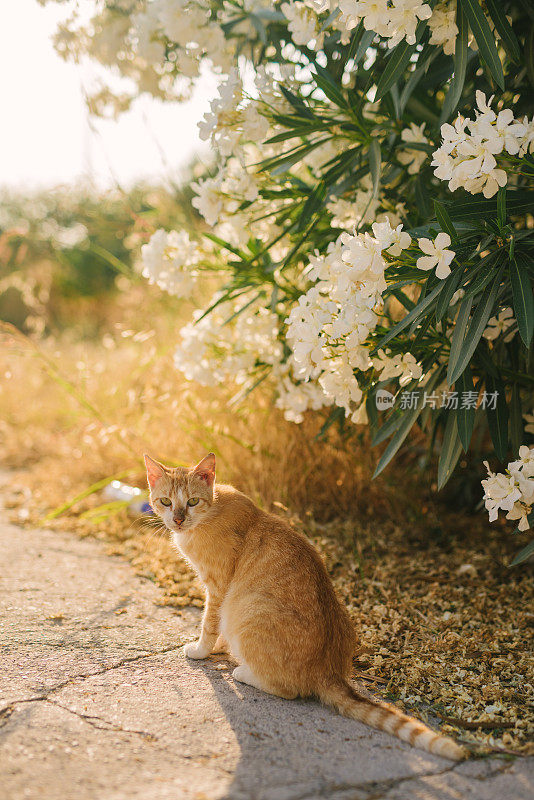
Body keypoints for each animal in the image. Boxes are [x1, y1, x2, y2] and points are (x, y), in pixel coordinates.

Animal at [144, 454, 466, 760]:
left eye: (193, 501)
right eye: (166, 502)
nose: (178, 520)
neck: (209, 513)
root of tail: (328, 672)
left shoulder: (219, 587)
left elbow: (210, 624)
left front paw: (201, 650)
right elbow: (219, 625)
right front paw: (220, 647)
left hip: (250, 612)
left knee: (289, 690)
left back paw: (245, 673)